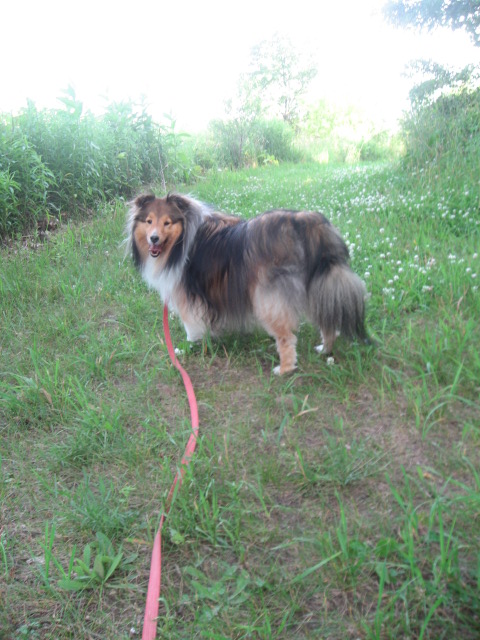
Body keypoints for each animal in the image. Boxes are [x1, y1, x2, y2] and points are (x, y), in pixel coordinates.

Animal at [126, 192, 369, 374]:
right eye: (149, 221)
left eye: (167, 222)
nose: (153, 239)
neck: (181, 240)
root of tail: (306, 222)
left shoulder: (187, 297)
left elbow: (191, 328)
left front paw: (186, 348)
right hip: (315, 287)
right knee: (328, 323)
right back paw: (324, 350)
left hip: (269, 297)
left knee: (287, 337)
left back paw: (284, 369)